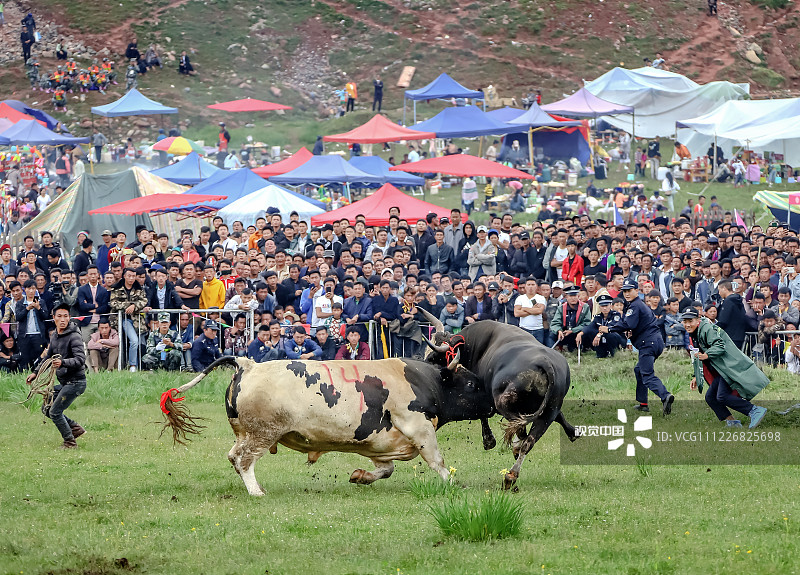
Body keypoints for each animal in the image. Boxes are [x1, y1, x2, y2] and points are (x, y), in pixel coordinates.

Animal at [159, 356, 490, 496]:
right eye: (472, 384)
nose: (492, 402)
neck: (424, 381)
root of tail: (247, 364)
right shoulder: (418, 426)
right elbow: (437, 461)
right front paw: (451, 485)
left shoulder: (380, 443)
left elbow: (385, 469)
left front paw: (360, 477)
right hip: (262, 433)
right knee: (243, 459)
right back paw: (256, 492)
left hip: (245, 433)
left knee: (233, 456)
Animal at [418, 310, 580, 490]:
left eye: (435, 355)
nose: (425, 364)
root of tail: (546, 364)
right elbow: (560, 417)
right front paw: (572, 432)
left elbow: (483, 415)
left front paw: (489, 441)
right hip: (548, 411)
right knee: (528, 440)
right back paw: (512, 473)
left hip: (504, 402)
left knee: (520, 428)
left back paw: (512, 460)